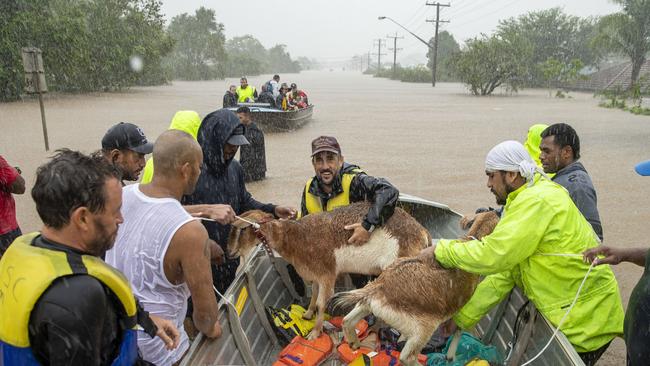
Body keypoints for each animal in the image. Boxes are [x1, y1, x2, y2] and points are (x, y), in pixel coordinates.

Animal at [227, 202, 430, 338]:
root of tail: (422, 232)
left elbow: (321, 303)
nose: (229, 252)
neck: (297, 237)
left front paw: (315, 333)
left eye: (243, 229)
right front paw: (307, 314)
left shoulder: (327, 275)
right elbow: (314, 296)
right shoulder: (315, 276)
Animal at [332, 210, 498, 366]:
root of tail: (380, 285)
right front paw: (450, 355)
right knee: (407, 357)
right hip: (423, 330)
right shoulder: (463, 305)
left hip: (367, 304)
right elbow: (459, 329)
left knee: (347, 320)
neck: (469, 243)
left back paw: (354, 343)